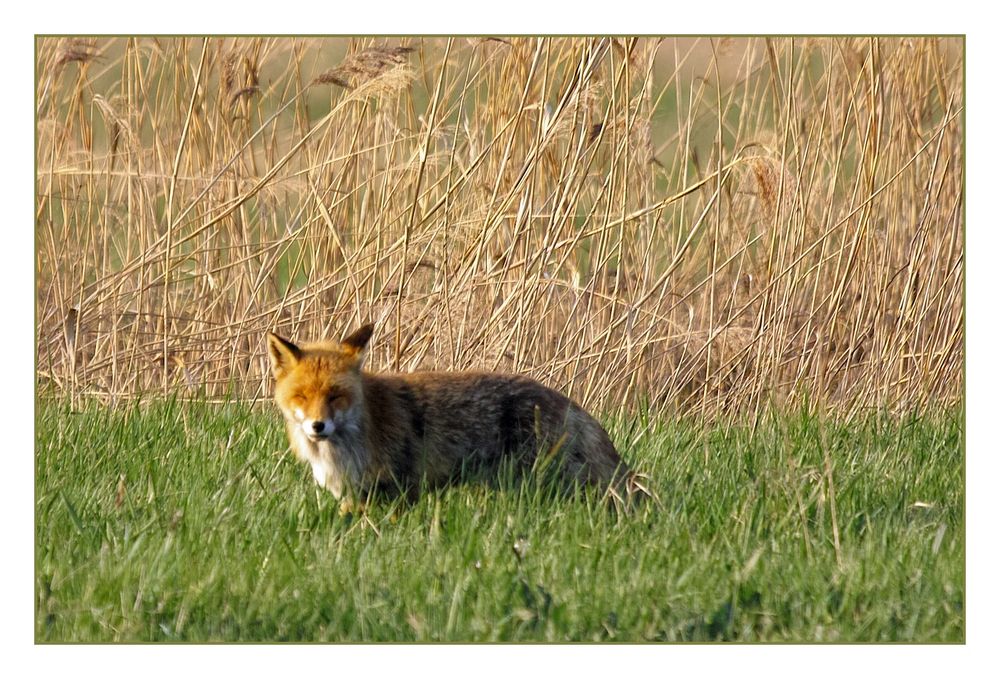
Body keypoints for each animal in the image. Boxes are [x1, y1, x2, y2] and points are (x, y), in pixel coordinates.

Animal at [266, 324, 640, 510]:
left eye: (335, 396)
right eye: (302, 396)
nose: (318, 426)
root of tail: (566, 401)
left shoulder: (398, 490)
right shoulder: (358, 496)